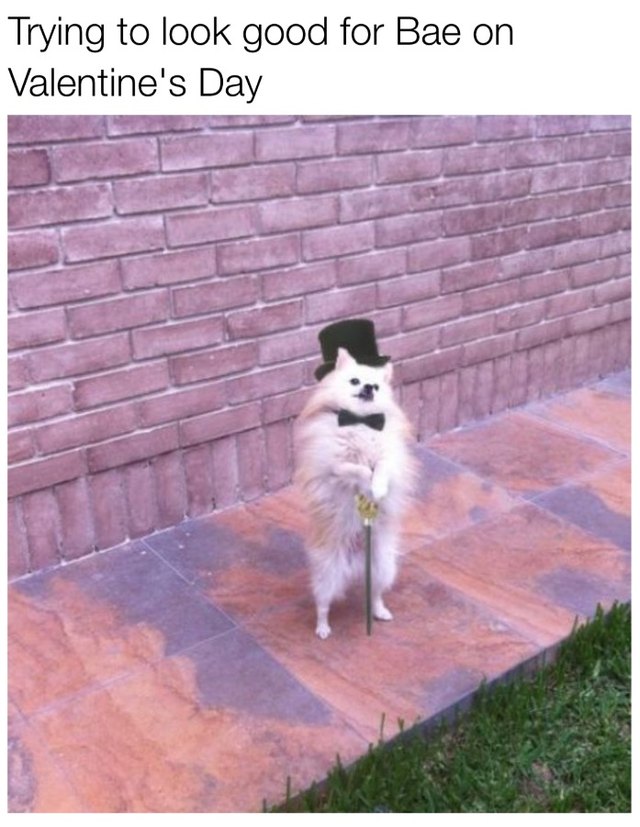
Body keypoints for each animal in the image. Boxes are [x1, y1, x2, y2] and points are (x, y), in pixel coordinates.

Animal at [294, 344, 418, 640]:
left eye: (376, 385)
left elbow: (381, 466)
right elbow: (354, 468)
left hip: (384, 567)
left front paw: (378, 487)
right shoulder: (333, 467)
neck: (361, 422)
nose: (369, 388)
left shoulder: (389, 458)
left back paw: (380, 611)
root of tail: (356, 565)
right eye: (354, 381)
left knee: (375, 595)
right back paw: (323, 627)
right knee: (323, 603)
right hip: (327, 572)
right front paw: (367, 479)